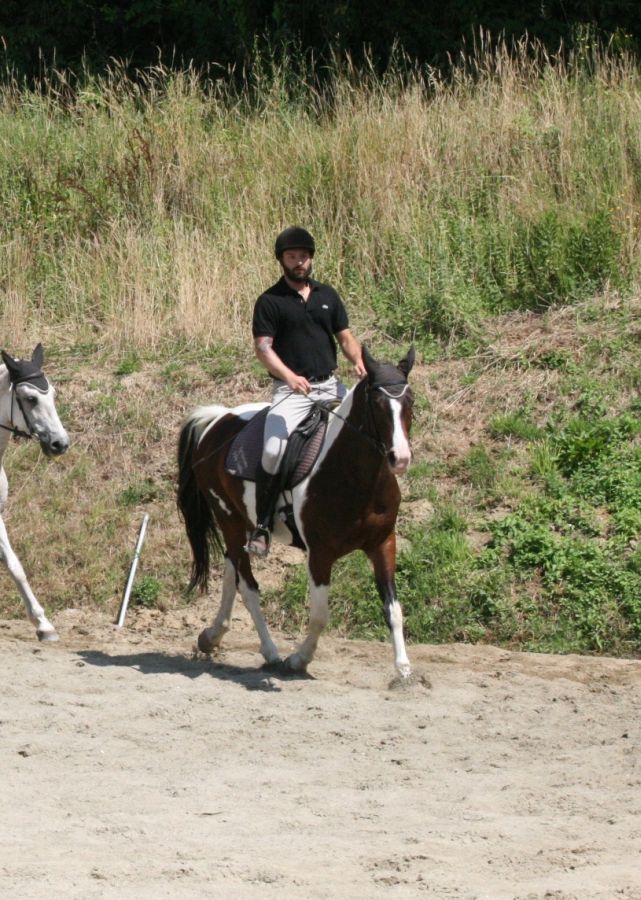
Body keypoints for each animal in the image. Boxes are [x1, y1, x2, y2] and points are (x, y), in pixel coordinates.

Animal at [175, 344, 416, 676]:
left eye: (410, 401)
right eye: (377, 404)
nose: (400, 458)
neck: (356, 476)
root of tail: (216, 418)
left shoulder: (383, 544)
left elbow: (394, 608)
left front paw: (403, 670)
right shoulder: (320, 554)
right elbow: (320, 615)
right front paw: (299, 660)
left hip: (241, 522)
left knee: (231, 568)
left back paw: (212, 636)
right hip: (228, 518)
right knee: (247, 586)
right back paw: (271, 652)